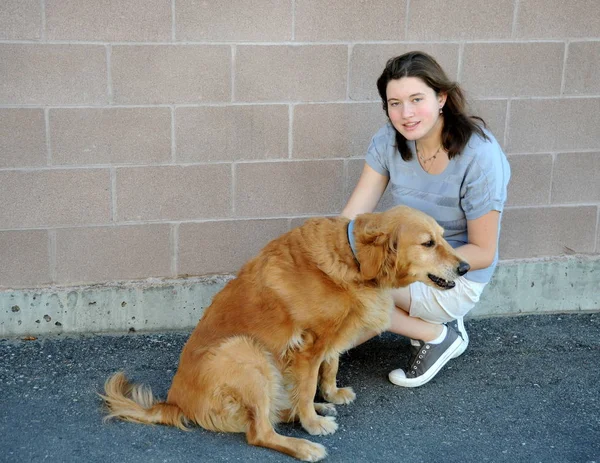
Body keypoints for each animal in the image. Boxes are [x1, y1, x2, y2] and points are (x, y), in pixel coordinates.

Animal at [102, 206, 468, 460]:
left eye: (443, 236)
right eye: (428, 243)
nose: (465, 267)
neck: (354, 258)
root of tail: (174, 402)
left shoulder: (329, 337)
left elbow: (330, 366)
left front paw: (330, 395)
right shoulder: (308, 346)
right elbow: (306, 387)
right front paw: (311, 422)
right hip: (246, 352)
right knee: (259, 432)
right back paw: (304, 445)